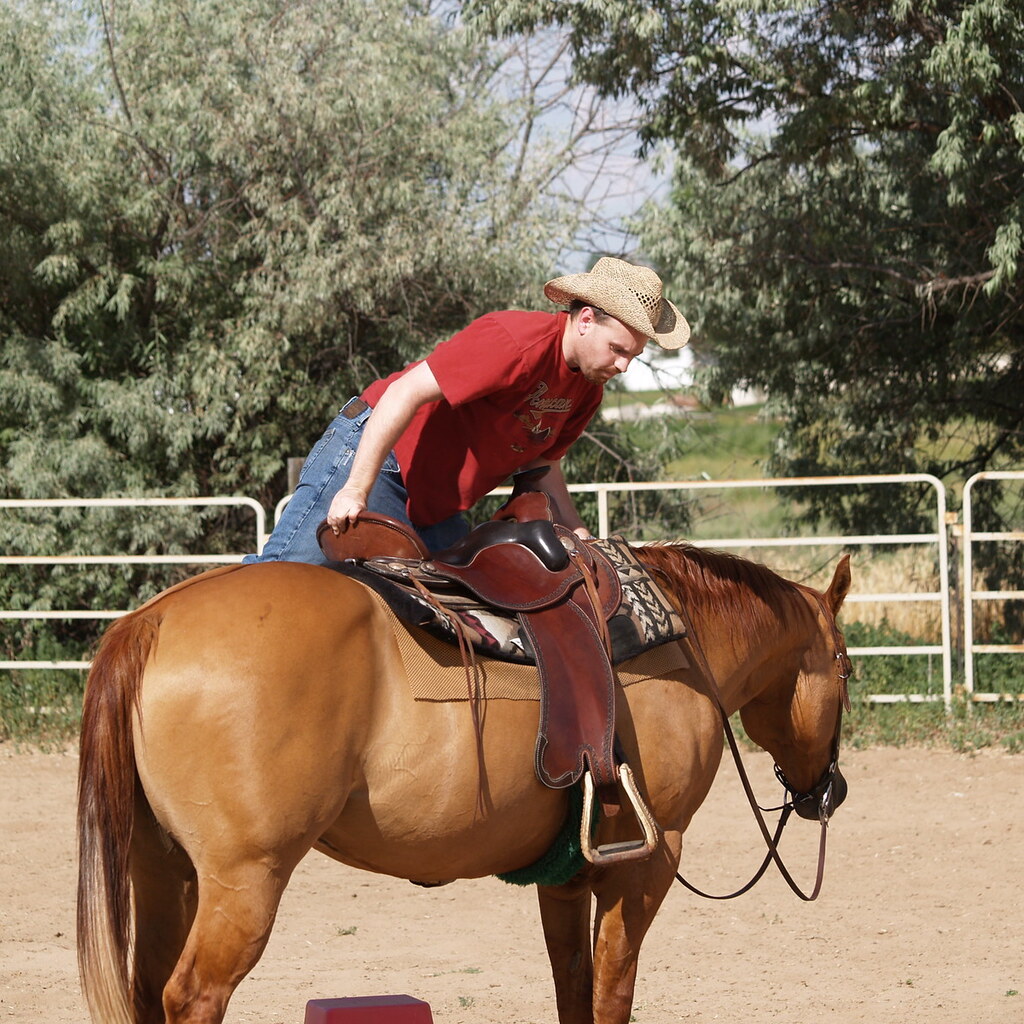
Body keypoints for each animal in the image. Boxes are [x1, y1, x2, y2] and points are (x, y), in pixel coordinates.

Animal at [76, 542, 852, 1024]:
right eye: (848, 667)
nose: (830, 793)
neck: (679, 643)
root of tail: (150, 622)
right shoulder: (649, 863)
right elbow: (613, 990)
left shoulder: (566, 876)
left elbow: (574, 987)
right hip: (244, 880)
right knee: (192, 995)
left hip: (163, 869)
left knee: (148, 987)